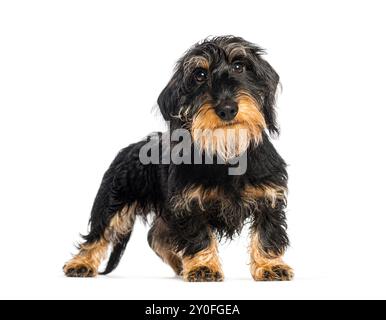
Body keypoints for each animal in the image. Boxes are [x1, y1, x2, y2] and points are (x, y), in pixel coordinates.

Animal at [64, 36, 292, 282]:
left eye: (240, 66)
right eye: (199, 75)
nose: (227, 109)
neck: (227, 151)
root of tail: (131, 148)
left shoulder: (269, 198)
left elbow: (267, 234)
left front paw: (270, 265)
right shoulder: (189, 204)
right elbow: (199, 237)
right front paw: (204, 267)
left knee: (157, 237)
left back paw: (179, 265)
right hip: (112, 203)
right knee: (99, 235)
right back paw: (81, 263)